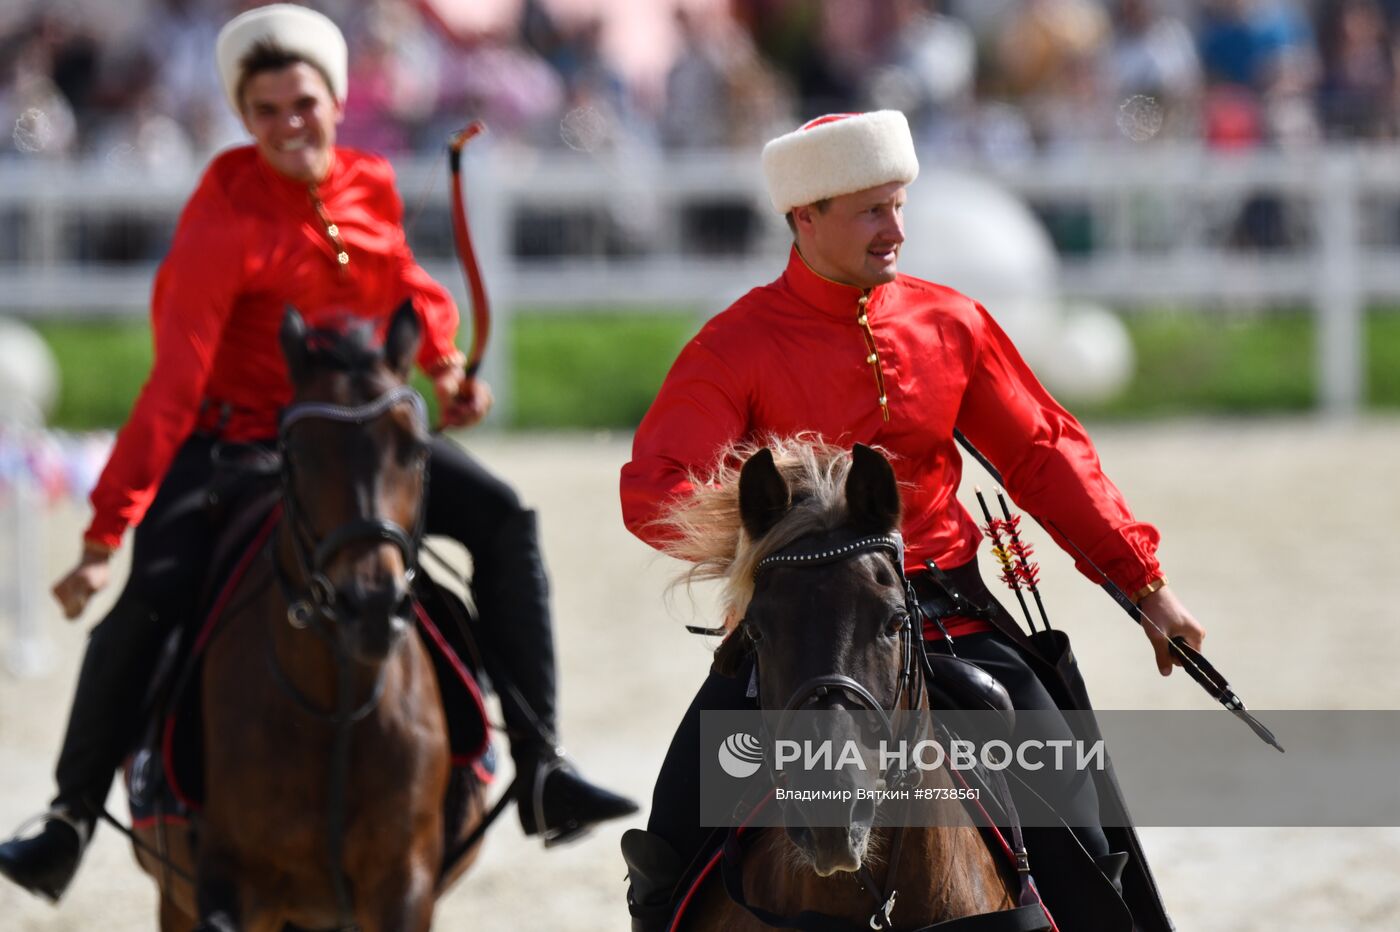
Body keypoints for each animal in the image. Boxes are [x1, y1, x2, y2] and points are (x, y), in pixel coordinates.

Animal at [132, 300, 481, 923]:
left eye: (415, 449)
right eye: (299, 452)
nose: (370, 605)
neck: (336, 707)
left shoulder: (403, 883)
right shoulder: (232, 891)